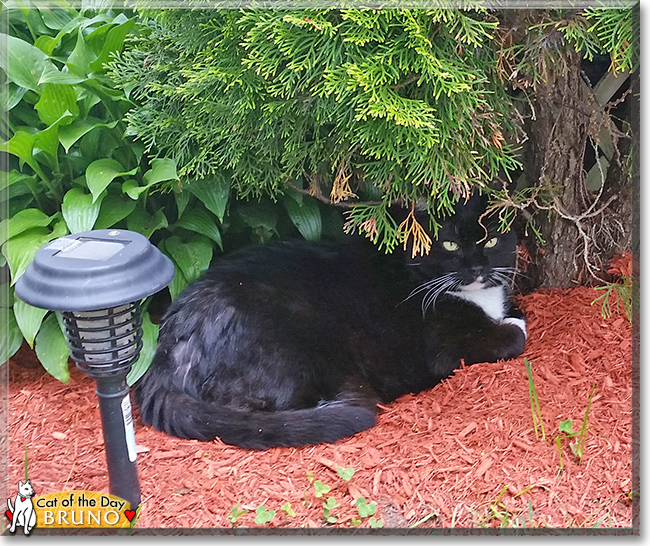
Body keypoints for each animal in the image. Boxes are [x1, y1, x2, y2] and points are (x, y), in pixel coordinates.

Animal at [134, 193, 524, 448]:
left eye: (491, 240)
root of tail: (166, 352)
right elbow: (514, 335)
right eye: (450, 245)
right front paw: (513, 327)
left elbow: (516, 310)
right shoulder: (443, 344)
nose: (477, 267)